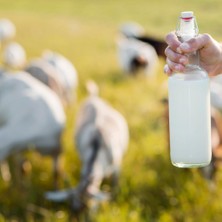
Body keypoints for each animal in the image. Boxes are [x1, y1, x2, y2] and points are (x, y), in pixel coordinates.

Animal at [44, 80, 128, 213]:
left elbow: (115, 184)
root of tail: (93, 98)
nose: (76, 214)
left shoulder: (116, 167)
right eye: (71, 206)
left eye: (87, 206)